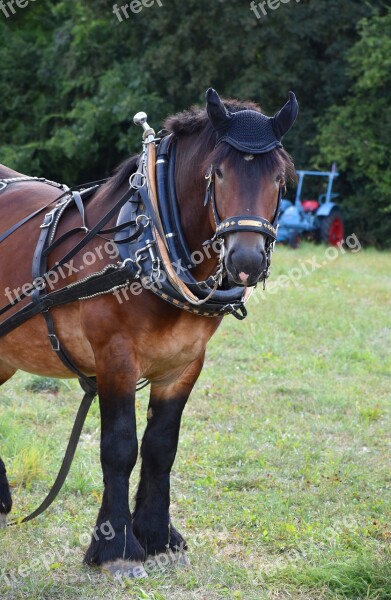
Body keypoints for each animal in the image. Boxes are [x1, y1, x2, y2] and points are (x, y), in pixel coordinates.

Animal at [0, 88, 298, 576]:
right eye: (217, 172)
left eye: (280, 177)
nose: (246, 260)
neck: (151, 241)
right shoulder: (115, 359)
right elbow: (120, 447)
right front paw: (116, 547)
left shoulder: (184, 364)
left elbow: (161, 446)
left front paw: (158, 536)